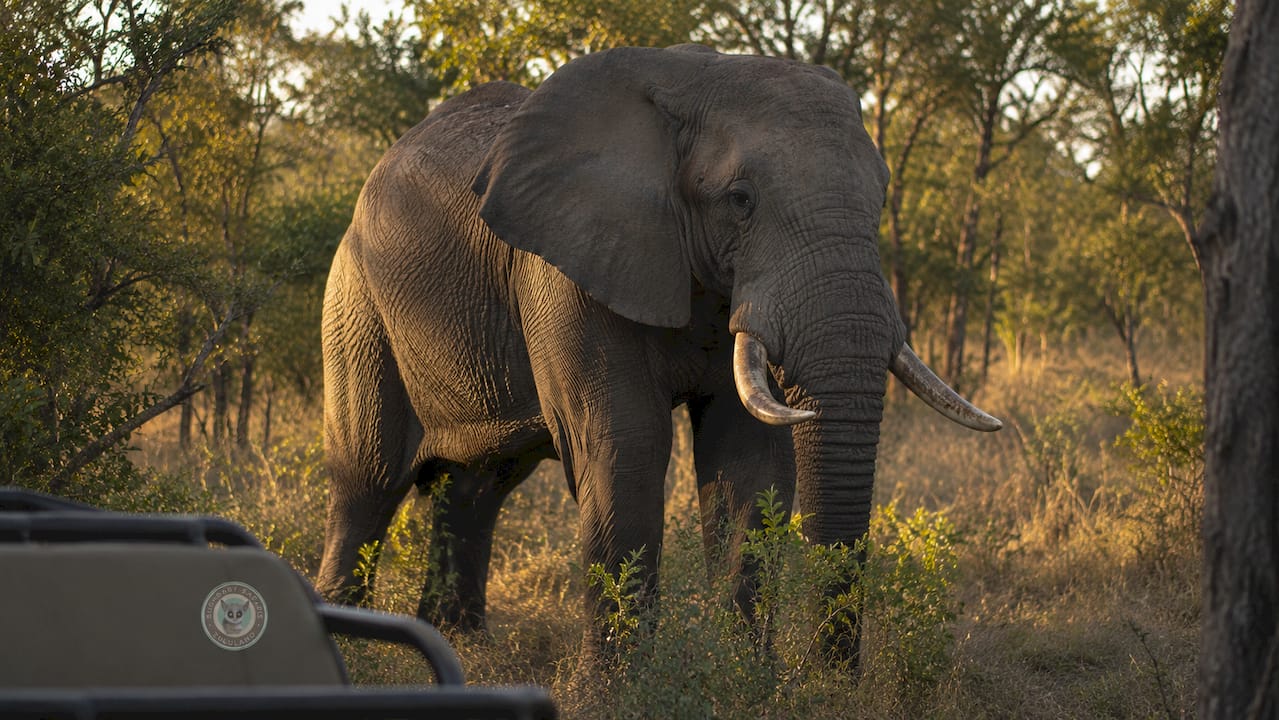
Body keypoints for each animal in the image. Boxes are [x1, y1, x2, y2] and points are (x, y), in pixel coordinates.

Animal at [316, 44, 1000, 658]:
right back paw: (349, 640)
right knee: (367, 478)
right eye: (740, 200)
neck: (692, 83)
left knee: (478, 487)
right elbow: (626, 447)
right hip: (356, 303)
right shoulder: (568, 269)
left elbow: (749, 461)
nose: (831, 679)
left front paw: (740, 681)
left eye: (881, 198)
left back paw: (456, 640)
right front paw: (619, 689)